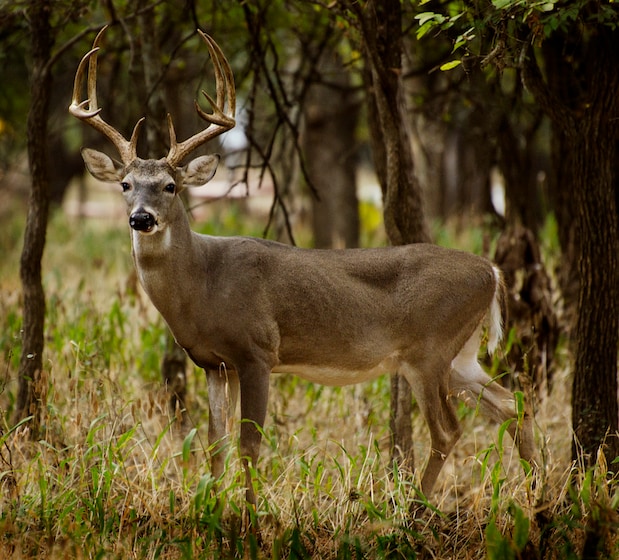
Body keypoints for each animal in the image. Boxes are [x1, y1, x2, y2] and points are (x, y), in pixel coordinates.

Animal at [70, 27, 536, 520]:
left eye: (170, 186)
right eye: (125, 184)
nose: (141, 218)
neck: (203, 284)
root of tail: (491, 270)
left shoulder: (257, 350)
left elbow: (249, 444)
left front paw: (251, 517)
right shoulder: (213, 363)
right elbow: (215, 445)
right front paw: (209, 509)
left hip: (430, 349)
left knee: (448, 429)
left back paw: (414, 509)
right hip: (462, 356)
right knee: (515, 405)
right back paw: (538, 494)